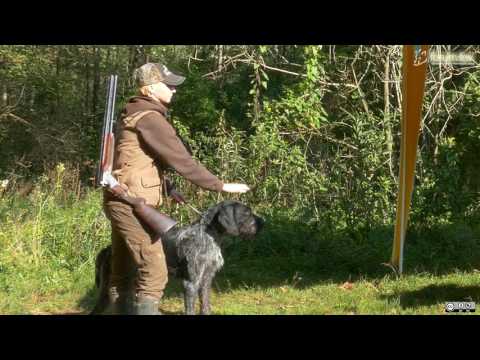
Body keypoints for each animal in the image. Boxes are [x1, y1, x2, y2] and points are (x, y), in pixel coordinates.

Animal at [90, 200, 262, 316]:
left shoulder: (206, 279)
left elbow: (205, 305)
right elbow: (190, 309)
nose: (263, 222)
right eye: (247, 213)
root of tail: (107, 249)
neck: (210, 236)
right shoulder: (191, 283)